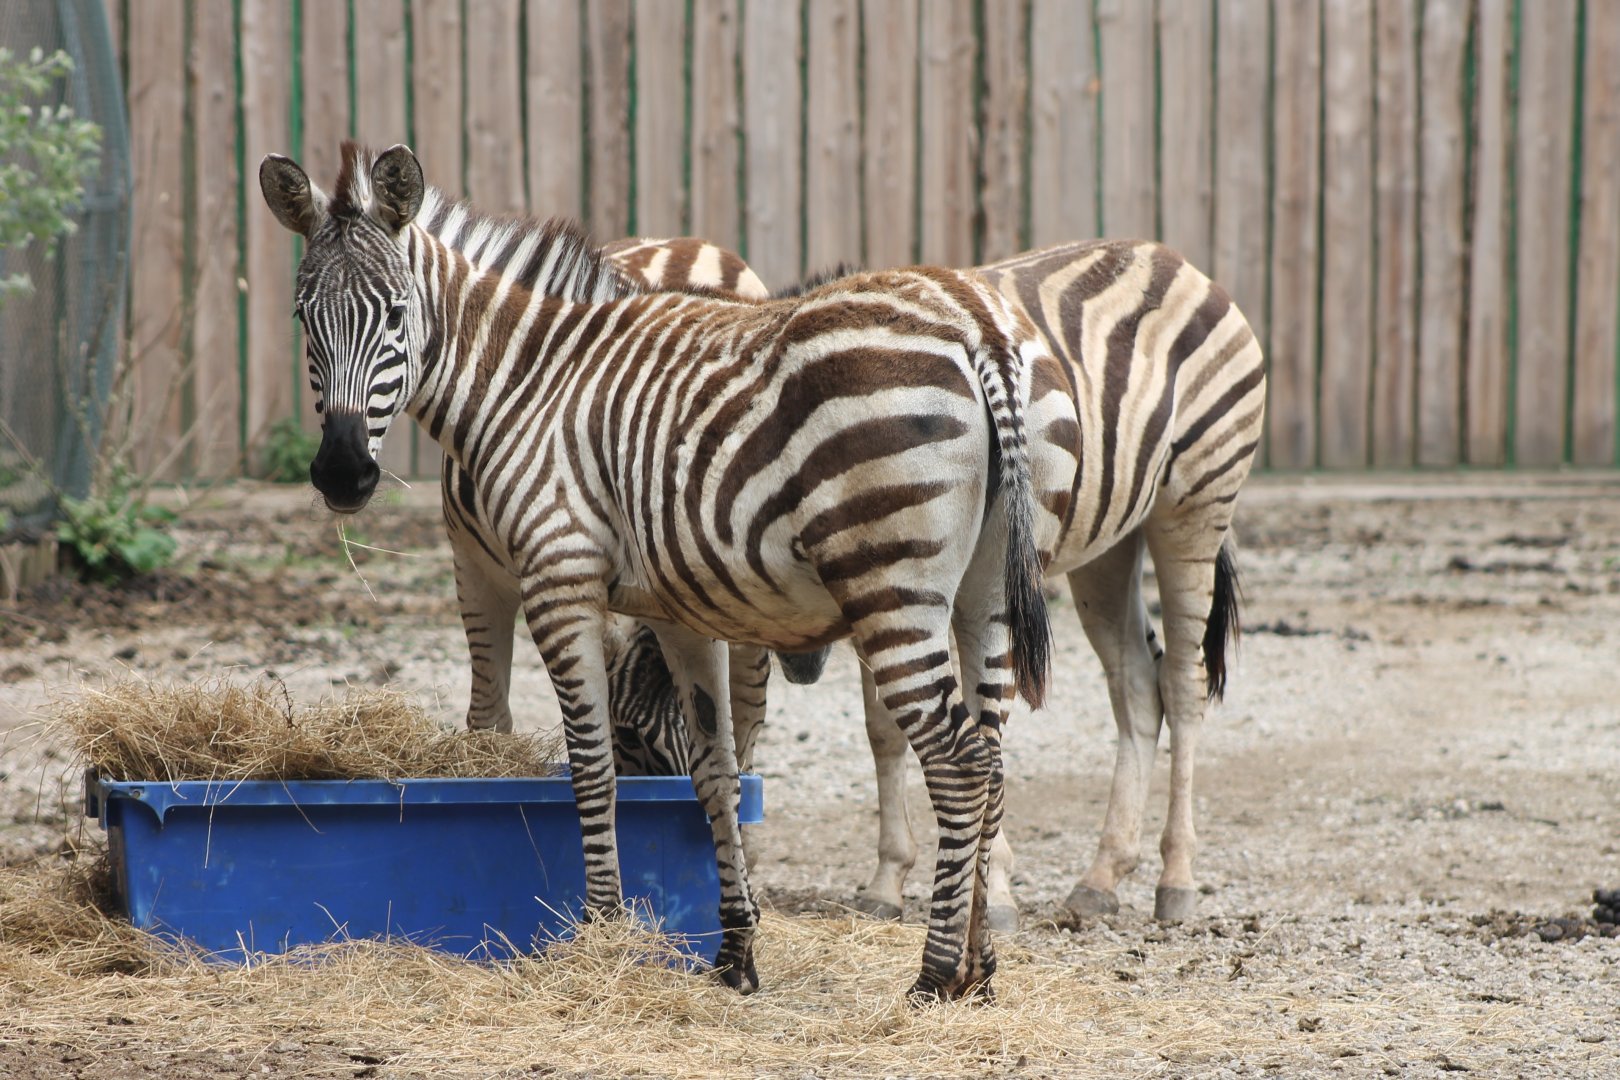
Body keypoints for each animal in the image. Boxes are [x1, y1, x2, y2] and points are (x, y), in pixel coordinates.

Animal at [259, 141, 1066, 1001]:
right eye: (303, 320)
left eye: (396, 316)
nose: (342, 474)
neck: (527, 382)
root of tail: (976, 329)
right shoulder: (682, 613)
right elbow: (715, 773)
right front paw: (735, 954)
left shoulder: (559, 578)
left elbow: (591, 767)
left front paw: (601, 934)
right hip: (984, 591)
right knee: (993, 761)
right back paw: (980, 971)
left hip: (892, 586)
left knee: (958, 762)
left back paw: (933, 975)